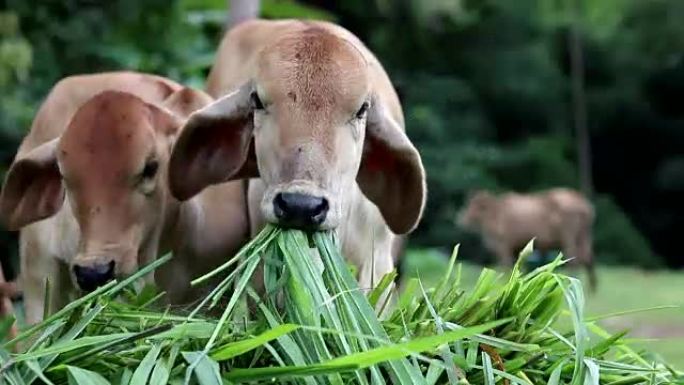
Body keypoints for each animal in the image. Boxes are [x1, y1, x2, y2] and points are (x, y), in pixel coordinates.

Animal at [460, 188, 600, 290]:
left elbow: (507, 266)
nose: (461, 219)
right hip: (584, 236)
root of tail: (585, 205)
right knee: (588, 257)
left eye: (476, 206)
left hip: (569, 237)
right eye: (469, 203)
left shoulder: (504, 246)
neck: (494, 214)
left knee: (575, 259)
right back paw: (591, 288)